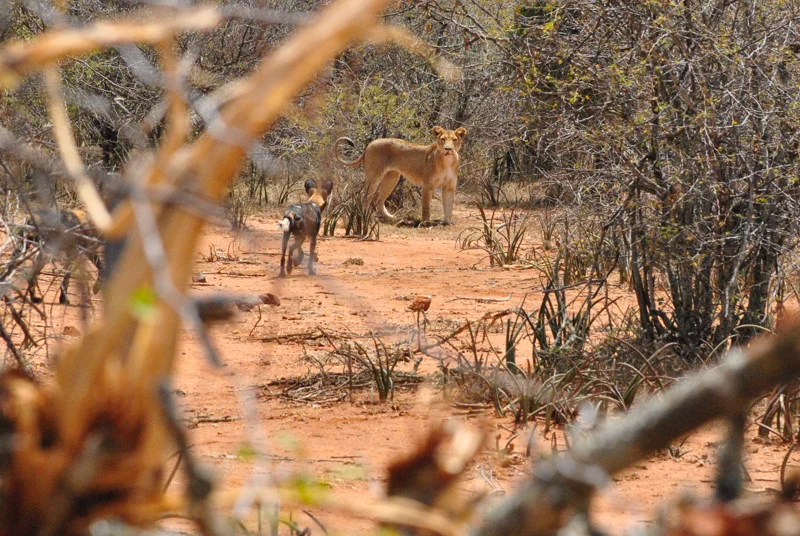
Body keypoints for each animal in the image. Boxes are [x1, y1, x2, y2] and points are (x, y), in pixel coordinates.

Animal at [335, 126, 467, 224]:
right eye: (443, 139)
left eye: (454, 140)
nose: (448, 149)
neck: (447, 162)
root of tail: (371, 143)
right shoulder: (427, 185)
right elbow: (426, 207)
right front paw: (426, 223)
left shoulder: (449, 186)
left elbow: (449, 206)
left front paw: (448, 222)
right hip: (374, 175)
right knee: (366, 196)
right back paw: (367, 218)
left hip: (392, 177)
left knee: (379, 199)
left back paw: (390, 218)